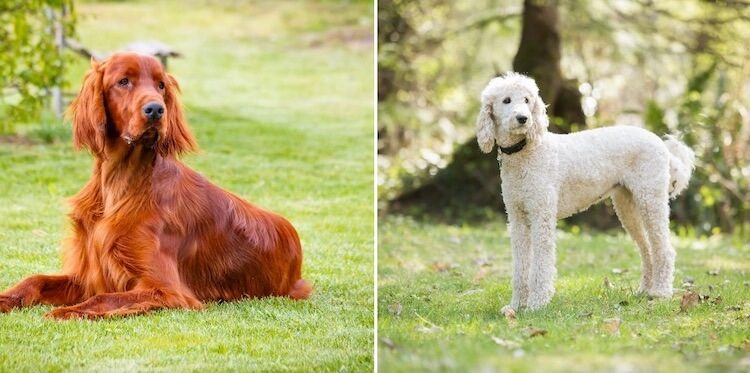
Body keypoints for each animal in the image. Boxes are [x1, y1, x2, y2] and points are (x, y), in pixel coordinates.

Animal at [0, 52, 312, 318]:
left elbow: (105, 298)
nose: (155, 110)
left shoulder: (166, 289)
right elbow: (35, 280)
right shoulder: (90, 275)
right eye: (123, 81)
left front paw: (68, 311)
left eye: (161, 85)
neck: (121, 183)